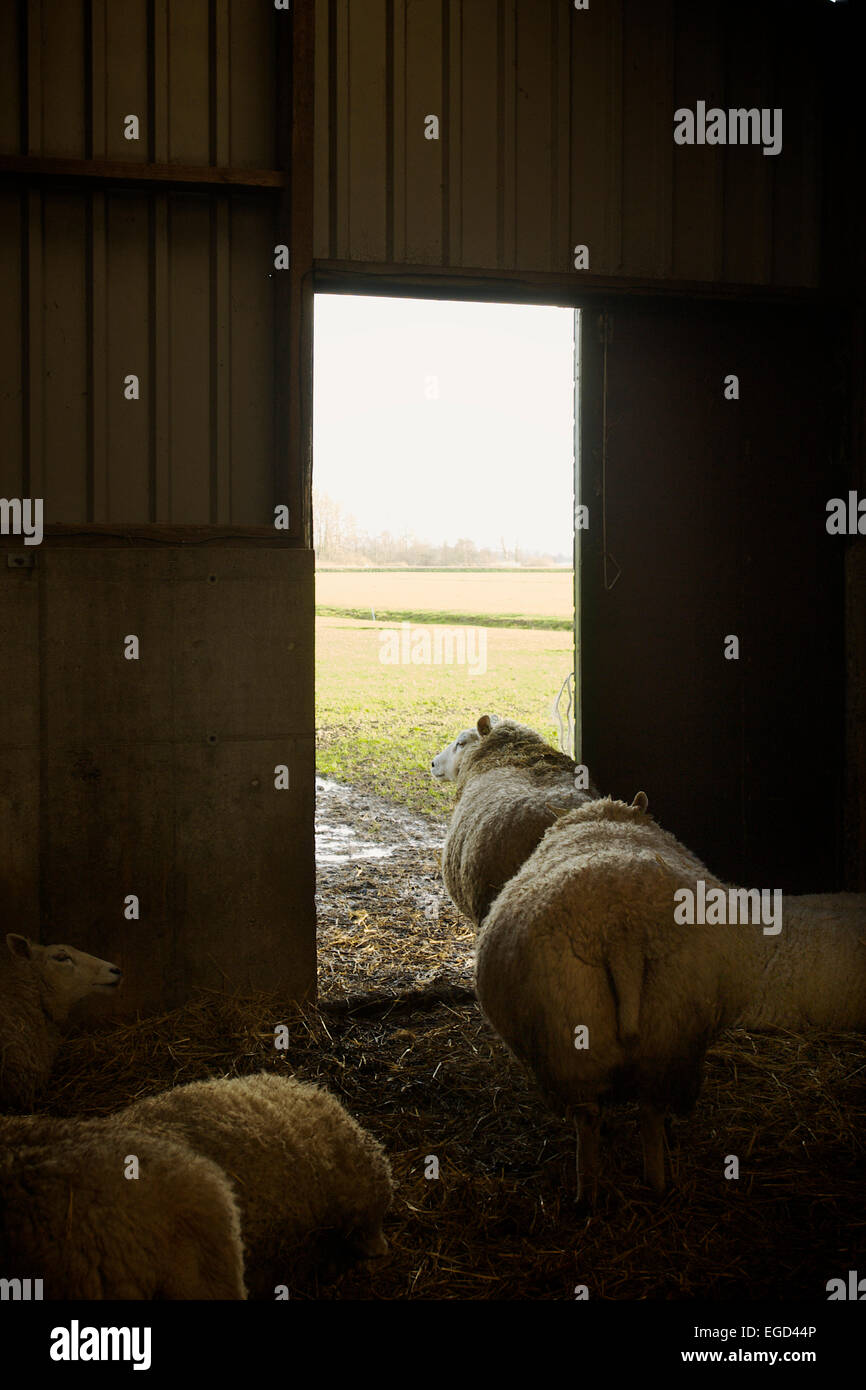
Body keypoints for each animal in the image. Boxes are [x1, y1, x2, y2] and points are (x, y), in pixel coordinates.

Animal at [475, 800, 866, 1200]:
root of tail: (621, 929)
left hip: (592, 1036)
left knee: (604, 1115)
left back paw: (603, 1186)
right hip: (657, 1033)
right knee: (640, 1110)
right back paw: (639, 1181)